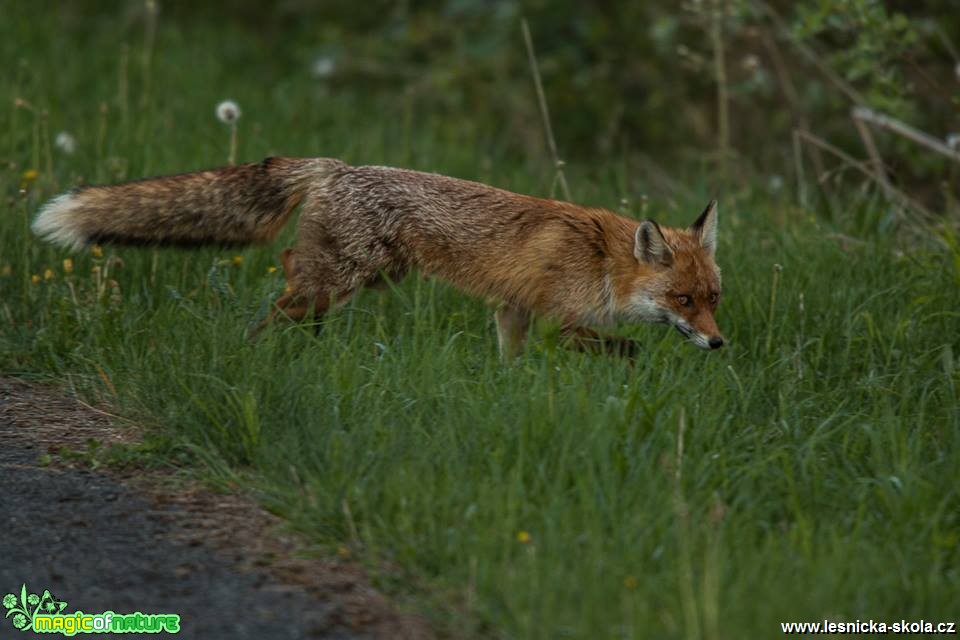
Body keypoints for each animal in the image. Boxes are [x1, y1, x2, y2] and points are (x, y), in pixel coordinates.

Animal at [33, 155, 724, 356]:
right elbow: (623, 349)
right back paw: (260, 352)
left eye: (715, 299)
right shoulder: (561, 320)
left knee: (294, 285)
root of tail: (333, 165)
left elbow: (512, 362)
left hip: (365, 278)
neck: (604, 262)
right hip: (344, 274)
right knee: (287, 282)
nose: (719, 344)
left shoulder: (512, 310)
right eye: (683, 300)